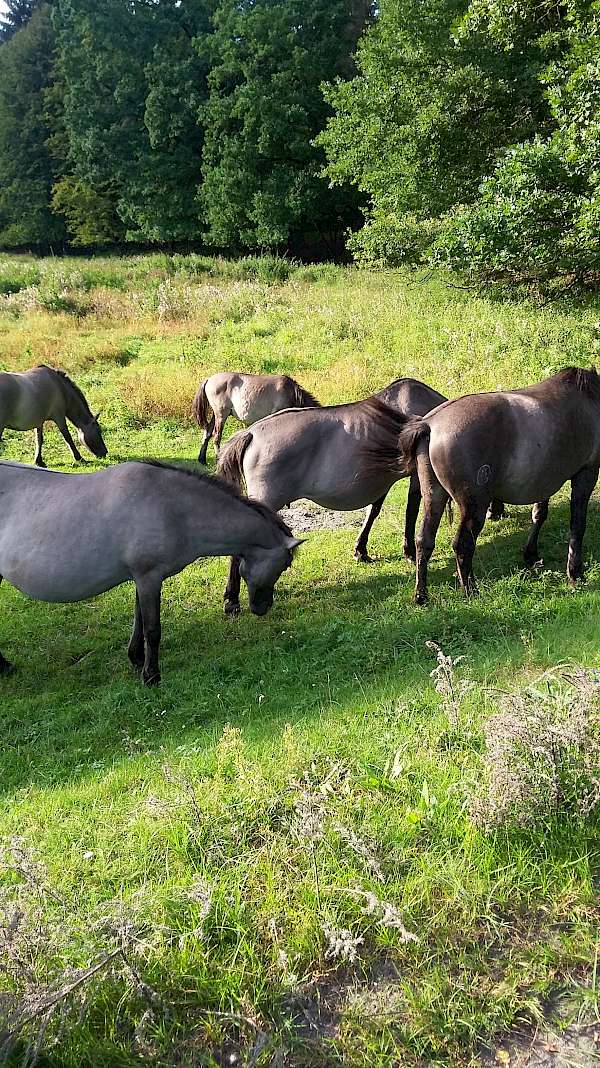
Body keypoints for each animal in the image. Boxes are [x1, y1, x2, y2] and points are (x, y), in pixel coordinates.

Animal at [0, 459, 298, 683]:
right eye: (285, 564)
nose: (263, 607)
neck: (173, 508)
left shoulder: (141, 579)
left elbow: (139, 620)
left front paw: (136, 658)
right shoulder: (148, 578)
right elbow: (152, 628)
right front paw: (151, 675)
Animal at [214, 375, 444, 615]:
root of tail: (251, 433)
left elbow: (373, 510)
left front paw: (361, 550)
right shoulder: (415, 475)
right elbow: (411, 509)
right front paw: (409, 552)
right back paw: (232, 600)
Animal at [397, 365, 600, 602]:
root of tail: (430, 425)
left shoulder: (546, 480)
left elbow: (539, 514)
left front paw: (531, 554)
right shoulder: (586, 473)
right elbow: (577, 525)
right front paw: (575, 573)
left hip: (434, 497)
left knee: (424, 541)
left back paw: (421, 595)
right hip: (474, 505)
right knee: (462, 545)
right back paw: (470, 590)